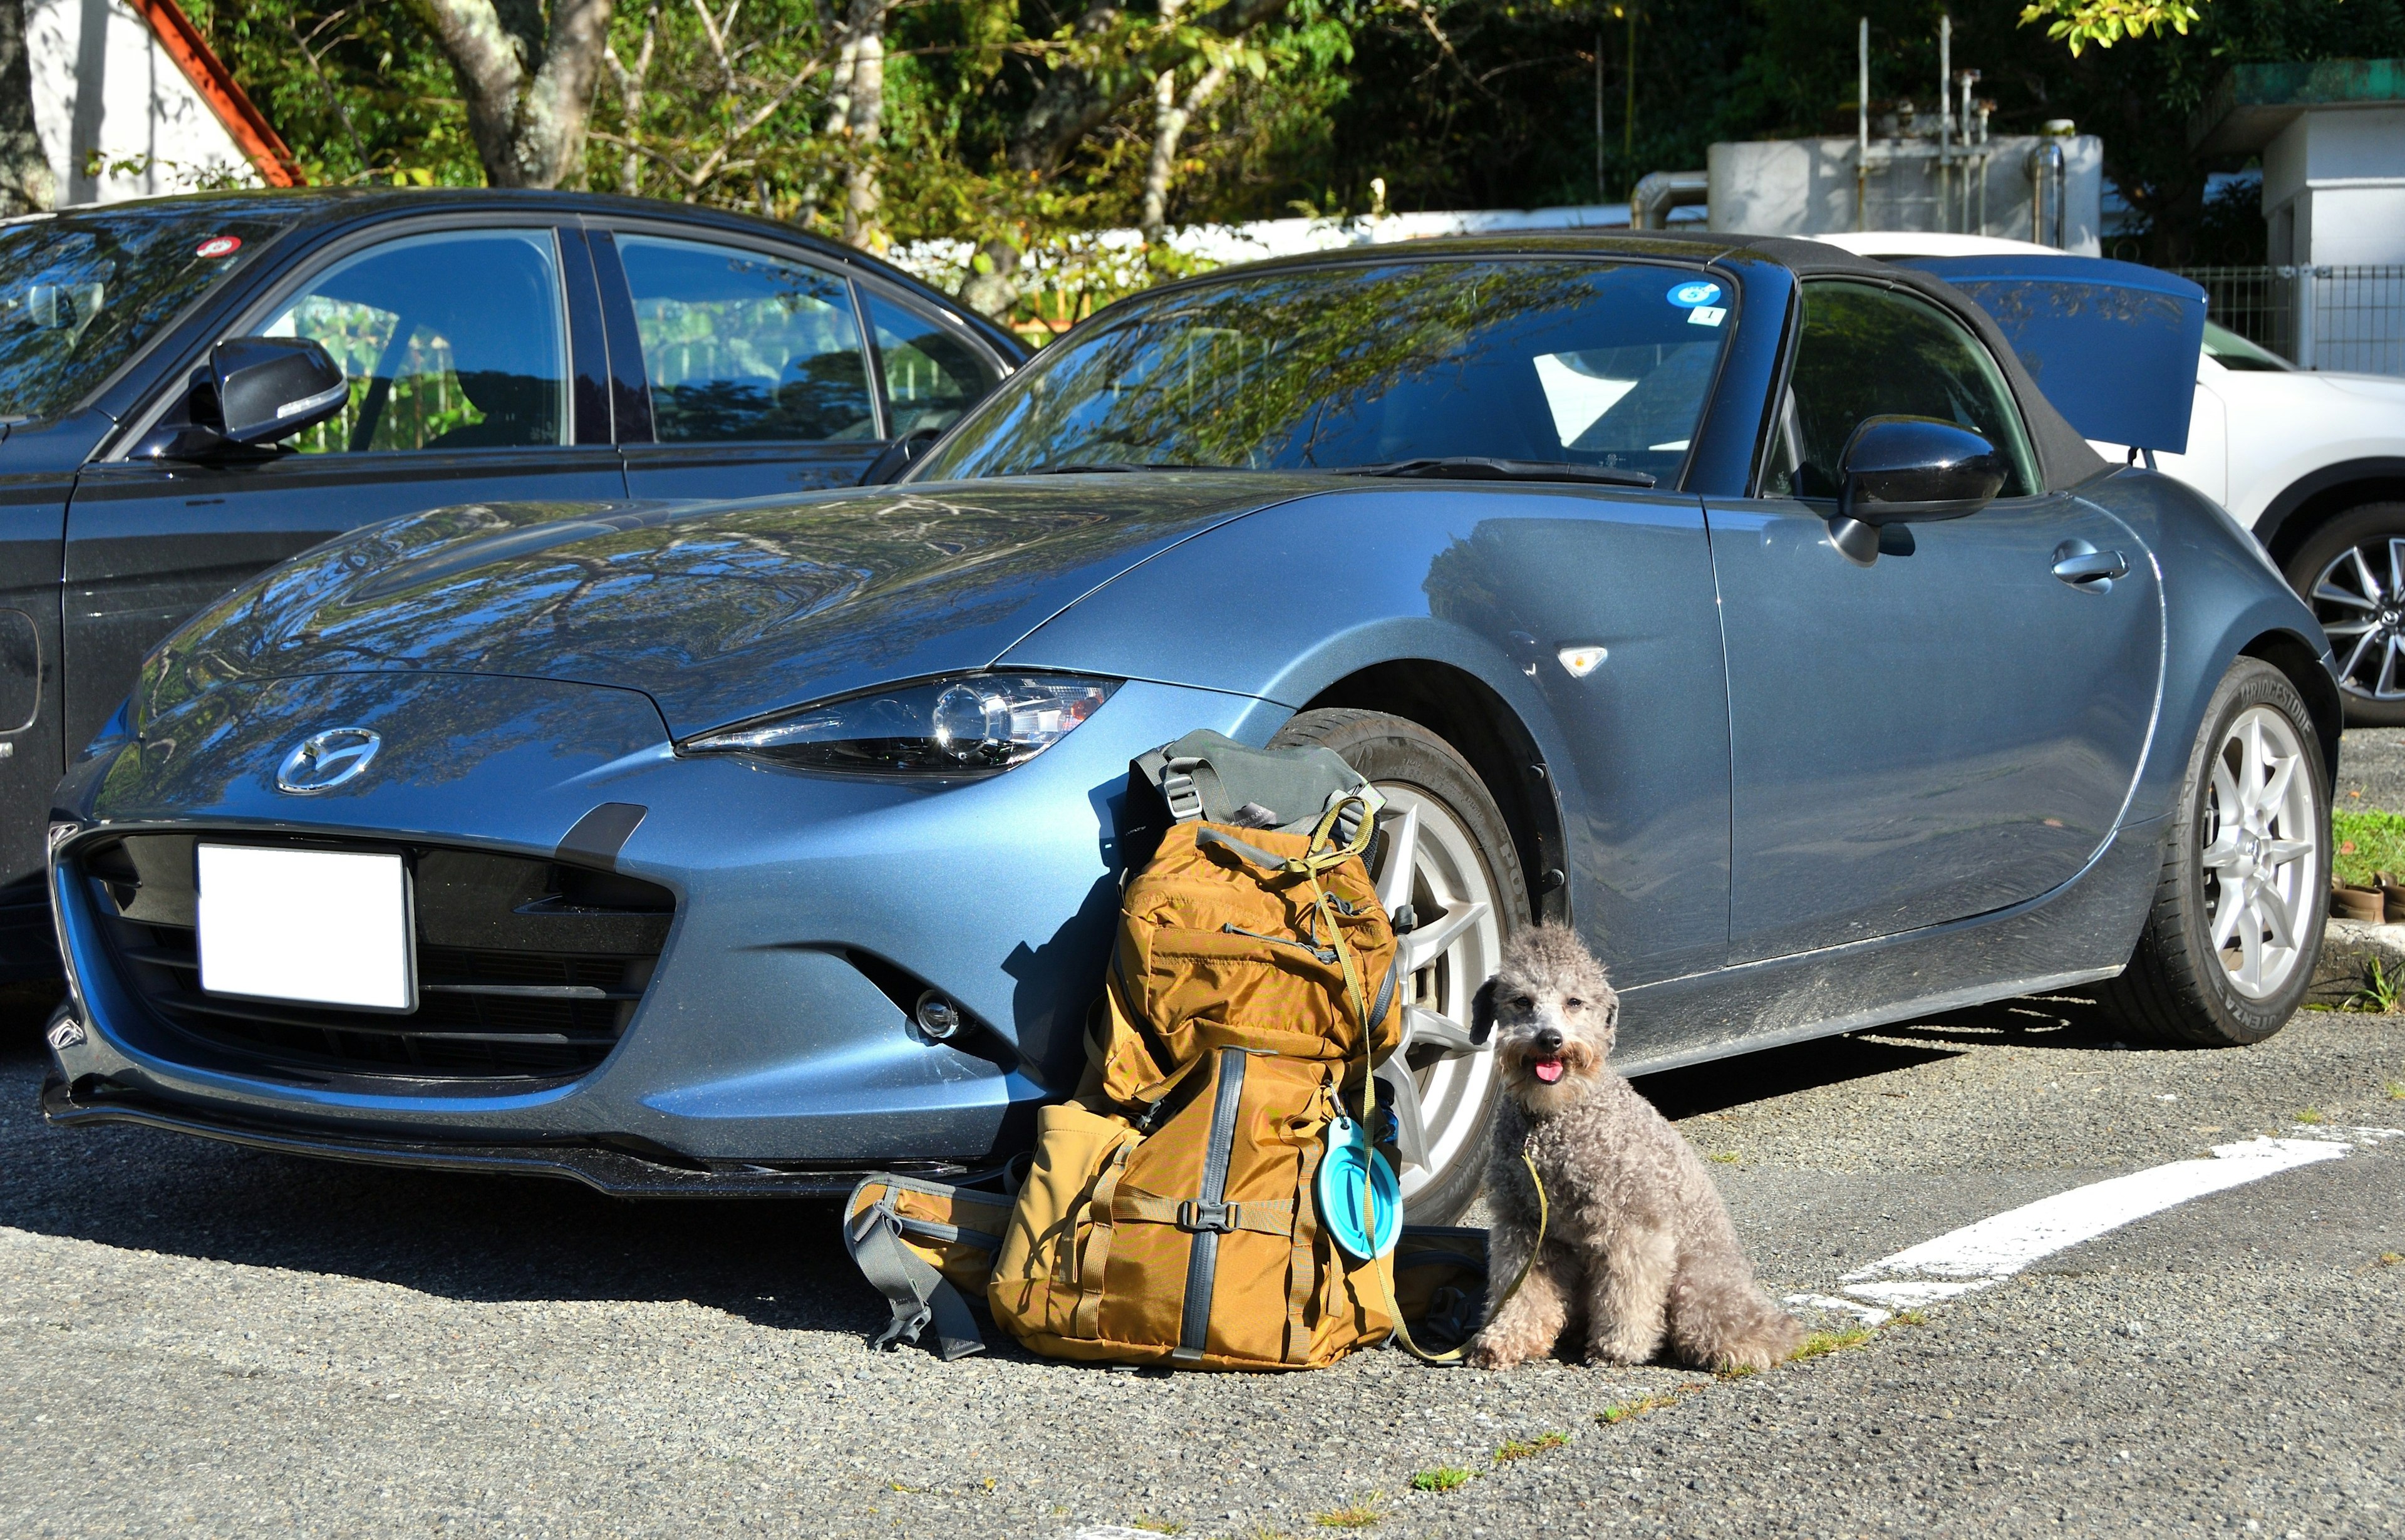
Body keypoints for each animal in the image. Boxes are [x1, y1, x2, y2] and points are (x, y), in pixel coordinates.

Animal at [1443, 924, 1808, 1367]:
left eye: (1575, 1002)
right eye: (1522, 1001)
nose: (1550, 1039)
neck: (1553, 1120)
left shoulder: (1633, 1223)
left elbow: (1628, 1291)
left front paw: (1619, 1346)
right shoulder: (1525, 1227)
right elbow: (1522, 1291)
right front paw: (1506, 1339)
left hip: (1694, 1289)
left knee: (1726, 1327)